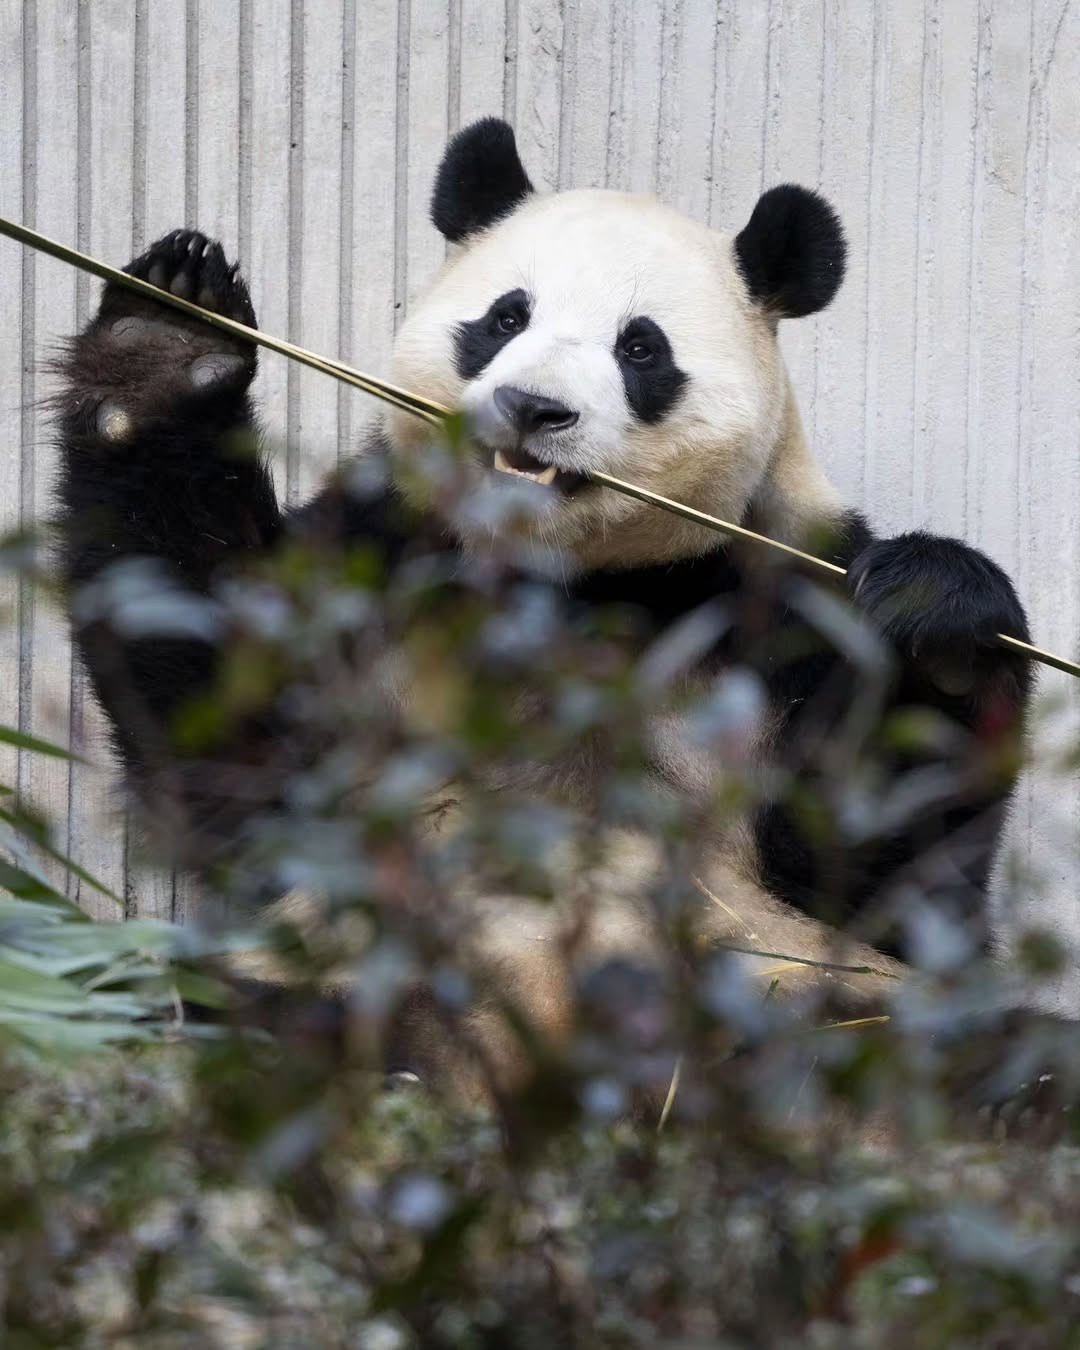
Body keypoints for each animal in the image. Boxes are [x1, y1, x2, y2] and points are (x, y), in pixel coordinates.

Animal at [54, 117, 1033, 1108]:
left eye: (640, 349)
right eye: (505, 318)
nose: (532, 408)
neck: (561, 580)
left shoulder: (775, 597)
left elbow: (873, 869)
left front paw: (939, 623)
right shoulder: (384, 552)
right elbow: (238, 738)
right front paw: (164, 342)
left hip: (793, 990)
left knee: (958, 1048)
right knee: (205, 1010)